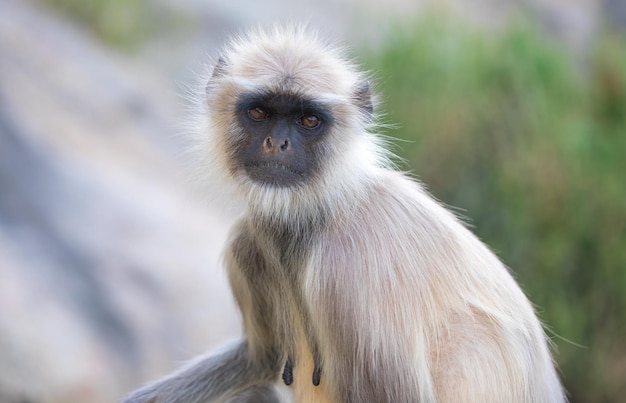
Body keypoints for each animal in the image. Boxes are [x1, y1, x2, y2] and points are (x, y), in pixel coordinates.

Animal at [123, 26, 564, 403]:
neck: (320, 211)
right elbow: (259, 359)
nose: (277, 143)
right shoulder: (246, 243)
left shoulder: (350, 267)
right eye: (261, 113)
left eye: (308, 120)